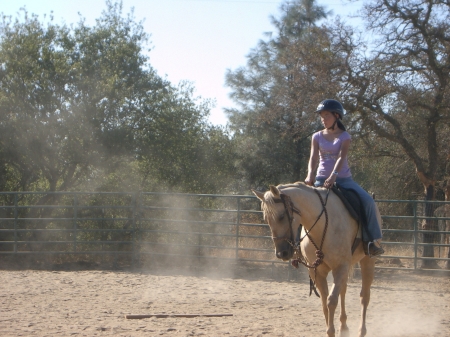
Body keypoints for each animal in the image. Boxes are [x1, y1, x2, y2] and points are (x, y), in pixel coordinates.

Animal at [253, 182, 384, 334]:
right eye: (266, 219)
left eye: (281, 216)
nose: (281, 253)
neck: (322, 227)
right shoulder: (318, 271)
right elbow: (324, 302)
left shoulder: (340, 267)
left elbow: (331, 301)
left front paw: (331, 331)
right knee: (343, 291)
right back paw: (344, 327)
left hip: (367, 261)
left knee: (364, 296)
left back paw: (361, 331)